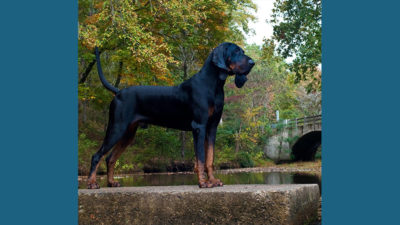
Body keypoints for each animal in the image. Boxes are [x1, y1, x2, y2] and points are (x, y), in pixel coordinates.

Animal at [87, 42, 255, 188]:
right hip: (117, 127)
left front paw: (212, 181)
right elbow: (200, 158)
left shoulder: (212, 127)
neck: (214, 85)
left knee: (110, 158)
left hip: (128, 133)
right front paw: (203, 183)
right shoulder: (199, 127)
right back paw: (92, 183)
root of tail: (118, 92)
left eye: (242, 51)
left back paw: (111, 182)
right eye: (236, 52)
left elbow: (209, 158)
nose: (253, 62)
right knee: (97, 156)